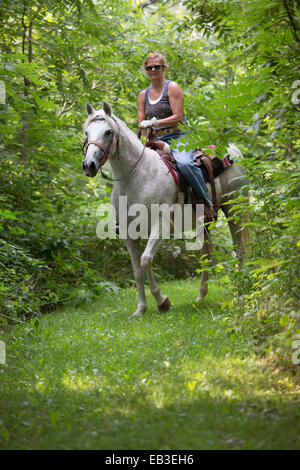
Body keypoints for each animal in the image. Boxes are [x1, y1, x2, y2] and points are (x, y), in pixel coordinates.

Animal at [82, 101, 251, 318]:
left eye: (108, 132)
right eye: (87, 132)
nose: (89, 165)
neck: (136, 176)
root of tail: (234, 151)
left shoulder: (160, 227)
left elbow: (145, 260)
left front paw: (162, 301)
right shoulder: (128, 234)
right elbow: (137, 270)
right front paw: (141, 309)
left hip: (234, 211)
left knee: (240, 249)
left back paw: (240, 292)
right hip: (204, 221)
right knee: (207, 251)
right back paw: (201, 296)